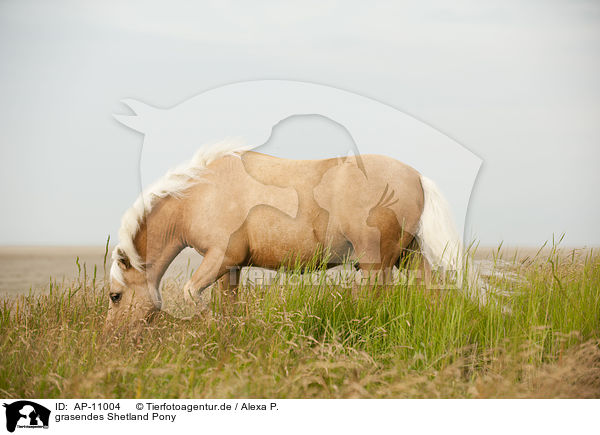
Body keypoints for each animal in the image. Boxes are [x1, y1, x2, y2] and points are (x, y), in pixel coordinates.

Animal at [104, 143, 464, 330]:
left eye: (115, 296)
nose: (111, 337)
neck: (199, 195)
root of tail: (416, 176)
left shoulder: (220, 257)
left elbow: (192, 293)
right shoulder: (230, 268)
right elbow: (228, 305)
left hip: (377, 264)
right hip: (409, 257)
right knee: (431, 293)